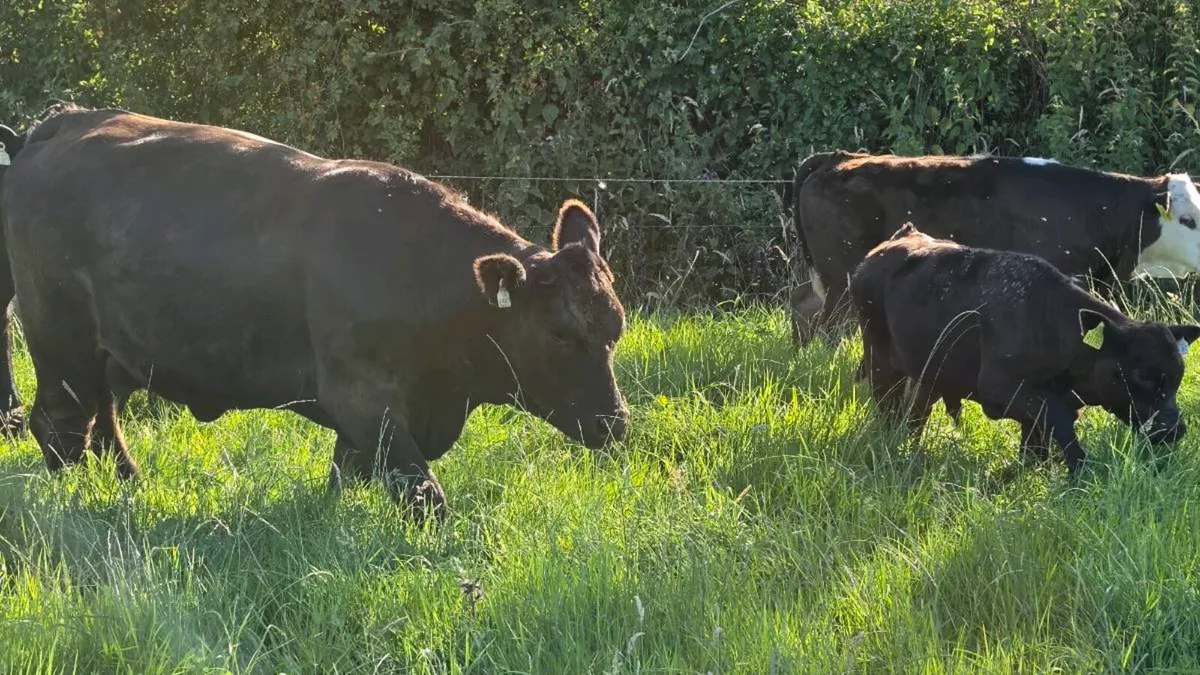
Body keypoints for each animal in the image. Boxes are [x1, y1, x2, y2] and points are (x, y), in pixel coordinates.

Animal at [0, 104, 631, 520]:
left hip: (109, 353)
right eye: (561, 335)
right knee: (60, 427)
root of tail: (62, 122)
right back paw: (84, 505)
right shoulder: (363, 398)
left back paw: (131, 485)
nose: (615, 423)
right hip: (60, 341)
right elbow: (423, 494)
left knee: (102, 421)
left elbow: (345, 476)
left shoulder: (367, 416)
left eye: (614, 332)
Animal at [850, 222, 1200, 474]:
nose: (1174, 429)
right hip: (882, 365)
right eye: (1142, 374)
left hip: (931, 374)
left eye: (1177, 376)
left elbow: (1037, 445)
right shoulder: (1000, 390)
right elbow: (1058, 419)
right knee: (890, 414)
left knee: (915, 416)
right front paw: (1080, 471)